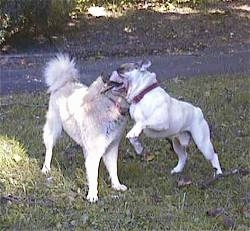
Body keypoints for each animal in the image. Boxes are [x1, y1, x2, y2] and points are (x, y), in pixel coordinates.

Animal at [42, 54, 128, 202]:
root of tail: (65, 82)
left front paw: (116, 185)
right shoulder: (95, 152)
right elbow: (94, 176)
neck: (107, 104)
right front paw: (92, 194)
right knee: (49, 149)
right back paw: (46, 168)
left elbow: (113, 169)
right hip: (54, 130)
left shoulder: (111, 148)